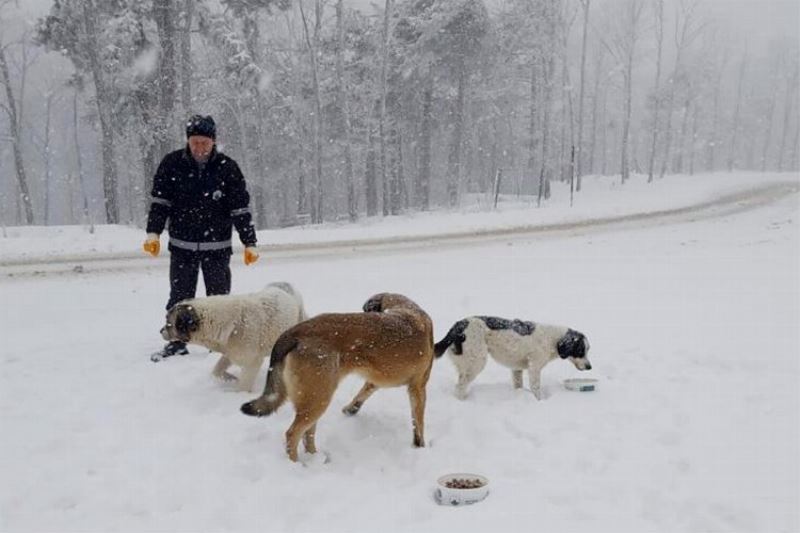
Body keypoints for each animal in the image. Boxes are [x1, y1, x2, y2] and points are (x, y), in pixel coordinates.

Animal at [159, 282, 306, 390]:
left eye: (169, 322)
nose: (160, 331)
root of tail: (282, 285)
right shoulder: (230, 353)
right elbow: (217, 370)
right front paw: (231, 378)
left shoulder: (252, 362)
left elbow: (243, 385)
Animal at [239, 290, 434, 462]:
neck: (408, 309)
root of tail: (294, 332)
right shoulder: (418, 388)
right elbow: (419, 424)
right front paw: (420, 447)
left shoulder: (375, 380)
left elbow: (363, 393)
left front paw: (351, 409)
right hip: (319, 397)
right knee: (292, 434)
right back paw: (296, 465)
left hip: (316, 396)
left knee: (307, 434)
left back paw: (316, 459)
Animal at [434, 316, 592, 400]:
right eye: (580, 351)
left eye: (587, 350)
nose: (590, 367)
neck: (552, 339)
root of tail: (457, 327)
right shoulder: (534, 367)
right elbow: (536, 388)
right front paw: (540, 401)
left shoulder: (517, 369)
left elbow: (518, 385)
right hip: (477, 362)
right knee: (459, 387)